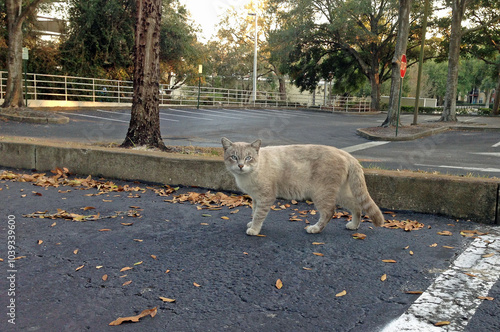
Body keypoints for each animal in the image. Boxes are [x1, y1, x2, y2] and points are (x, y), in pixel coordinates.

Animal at [221, 137, 384, 236]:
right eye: (234, 157)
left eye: (248, 158)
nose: (241, 166)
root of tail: (346, 154)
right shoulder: (255, 198)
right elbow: (254, 211)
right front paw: (251, 223)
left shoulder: (265, 197)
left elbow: (259, 215)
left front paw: (254, 229)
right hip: (341, 194)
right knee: (357, 206)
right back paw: (353, 225)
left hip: (321, 193)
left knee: (329, 212)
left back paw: (315, 228)